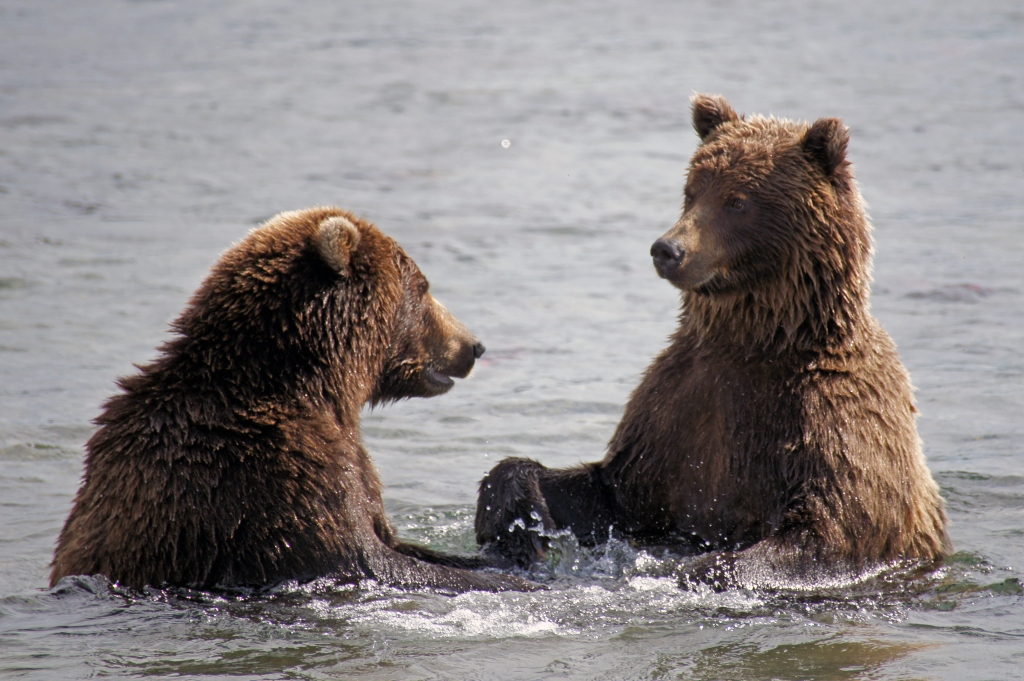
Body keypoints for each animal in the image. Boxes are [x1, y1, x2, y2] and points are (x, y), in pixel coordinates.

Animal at [50, 208, 536, 593]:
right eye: (422, 286)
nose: (472, 345)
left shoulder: (354, 467)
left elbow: (392, 537)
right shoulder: (274, 471)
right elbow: (366, 559)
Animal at [475, 93, 954, 585]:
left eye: (738, 200)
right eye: (692, 191)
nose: (668, 249)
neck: (754, 341)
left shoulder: (827, 422)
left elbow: (827, 533)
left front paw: (692, 569)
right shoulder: (677, 412)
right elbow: (609, 492)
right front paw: (517, 517)